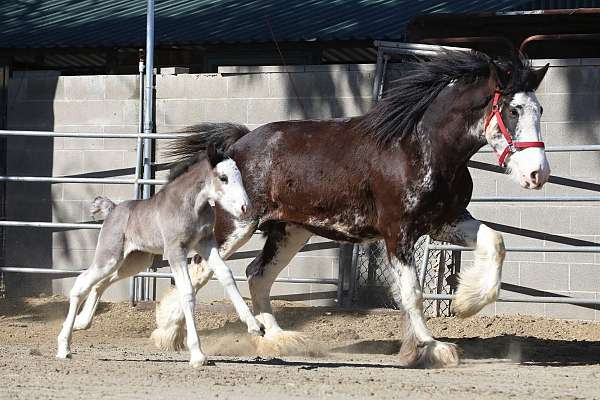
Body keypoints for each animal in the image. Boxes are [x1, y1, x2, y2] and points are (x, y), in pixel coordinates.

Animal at [152, 50, 552, 368]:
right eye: (513, 110)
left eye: (540, 109)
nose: (538, 174)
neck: (423, 149)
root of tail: (237, 145)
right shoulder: (398, 232)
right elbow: (412, 293)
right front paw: (432, 347)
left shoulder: (445, 222)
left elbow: (495, 242)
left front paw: (467, 304)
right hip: (236, 227)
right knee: (200, 269)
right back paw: (167, 333)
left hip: (290, 231)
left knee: (257, 274)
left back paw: (280, 339)